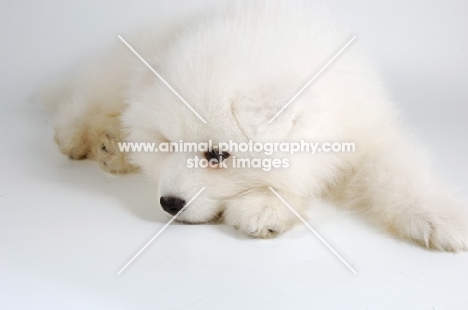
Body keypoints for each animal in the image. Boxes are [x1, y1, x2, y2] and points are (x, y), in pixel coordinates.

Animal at [48, 0, 468, 251]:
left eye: (217, 155)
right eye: (166, 144)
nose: (170, 203)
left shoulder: (367, 131)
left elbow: (399, 174)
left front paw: (441, 218)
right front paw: (266, 206)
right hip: (113, 76)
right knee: (83, 102)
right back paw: (93, 140)